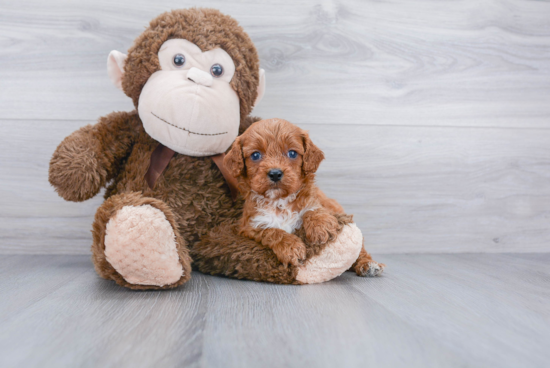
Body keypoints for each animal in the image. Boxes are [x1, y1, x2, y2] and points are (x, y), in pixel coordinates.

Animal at [225, 118, 384, 276]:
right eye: (255, 155)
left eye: (292, 153)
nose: (275, 173)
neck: (279, 201)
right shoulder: (249, 226)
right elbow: (271, 231)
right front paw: (291, 248)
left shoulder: (316, 202)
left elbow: (312, 209)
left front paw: (320, 227)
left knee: (361, 248)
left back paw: (368, 264)